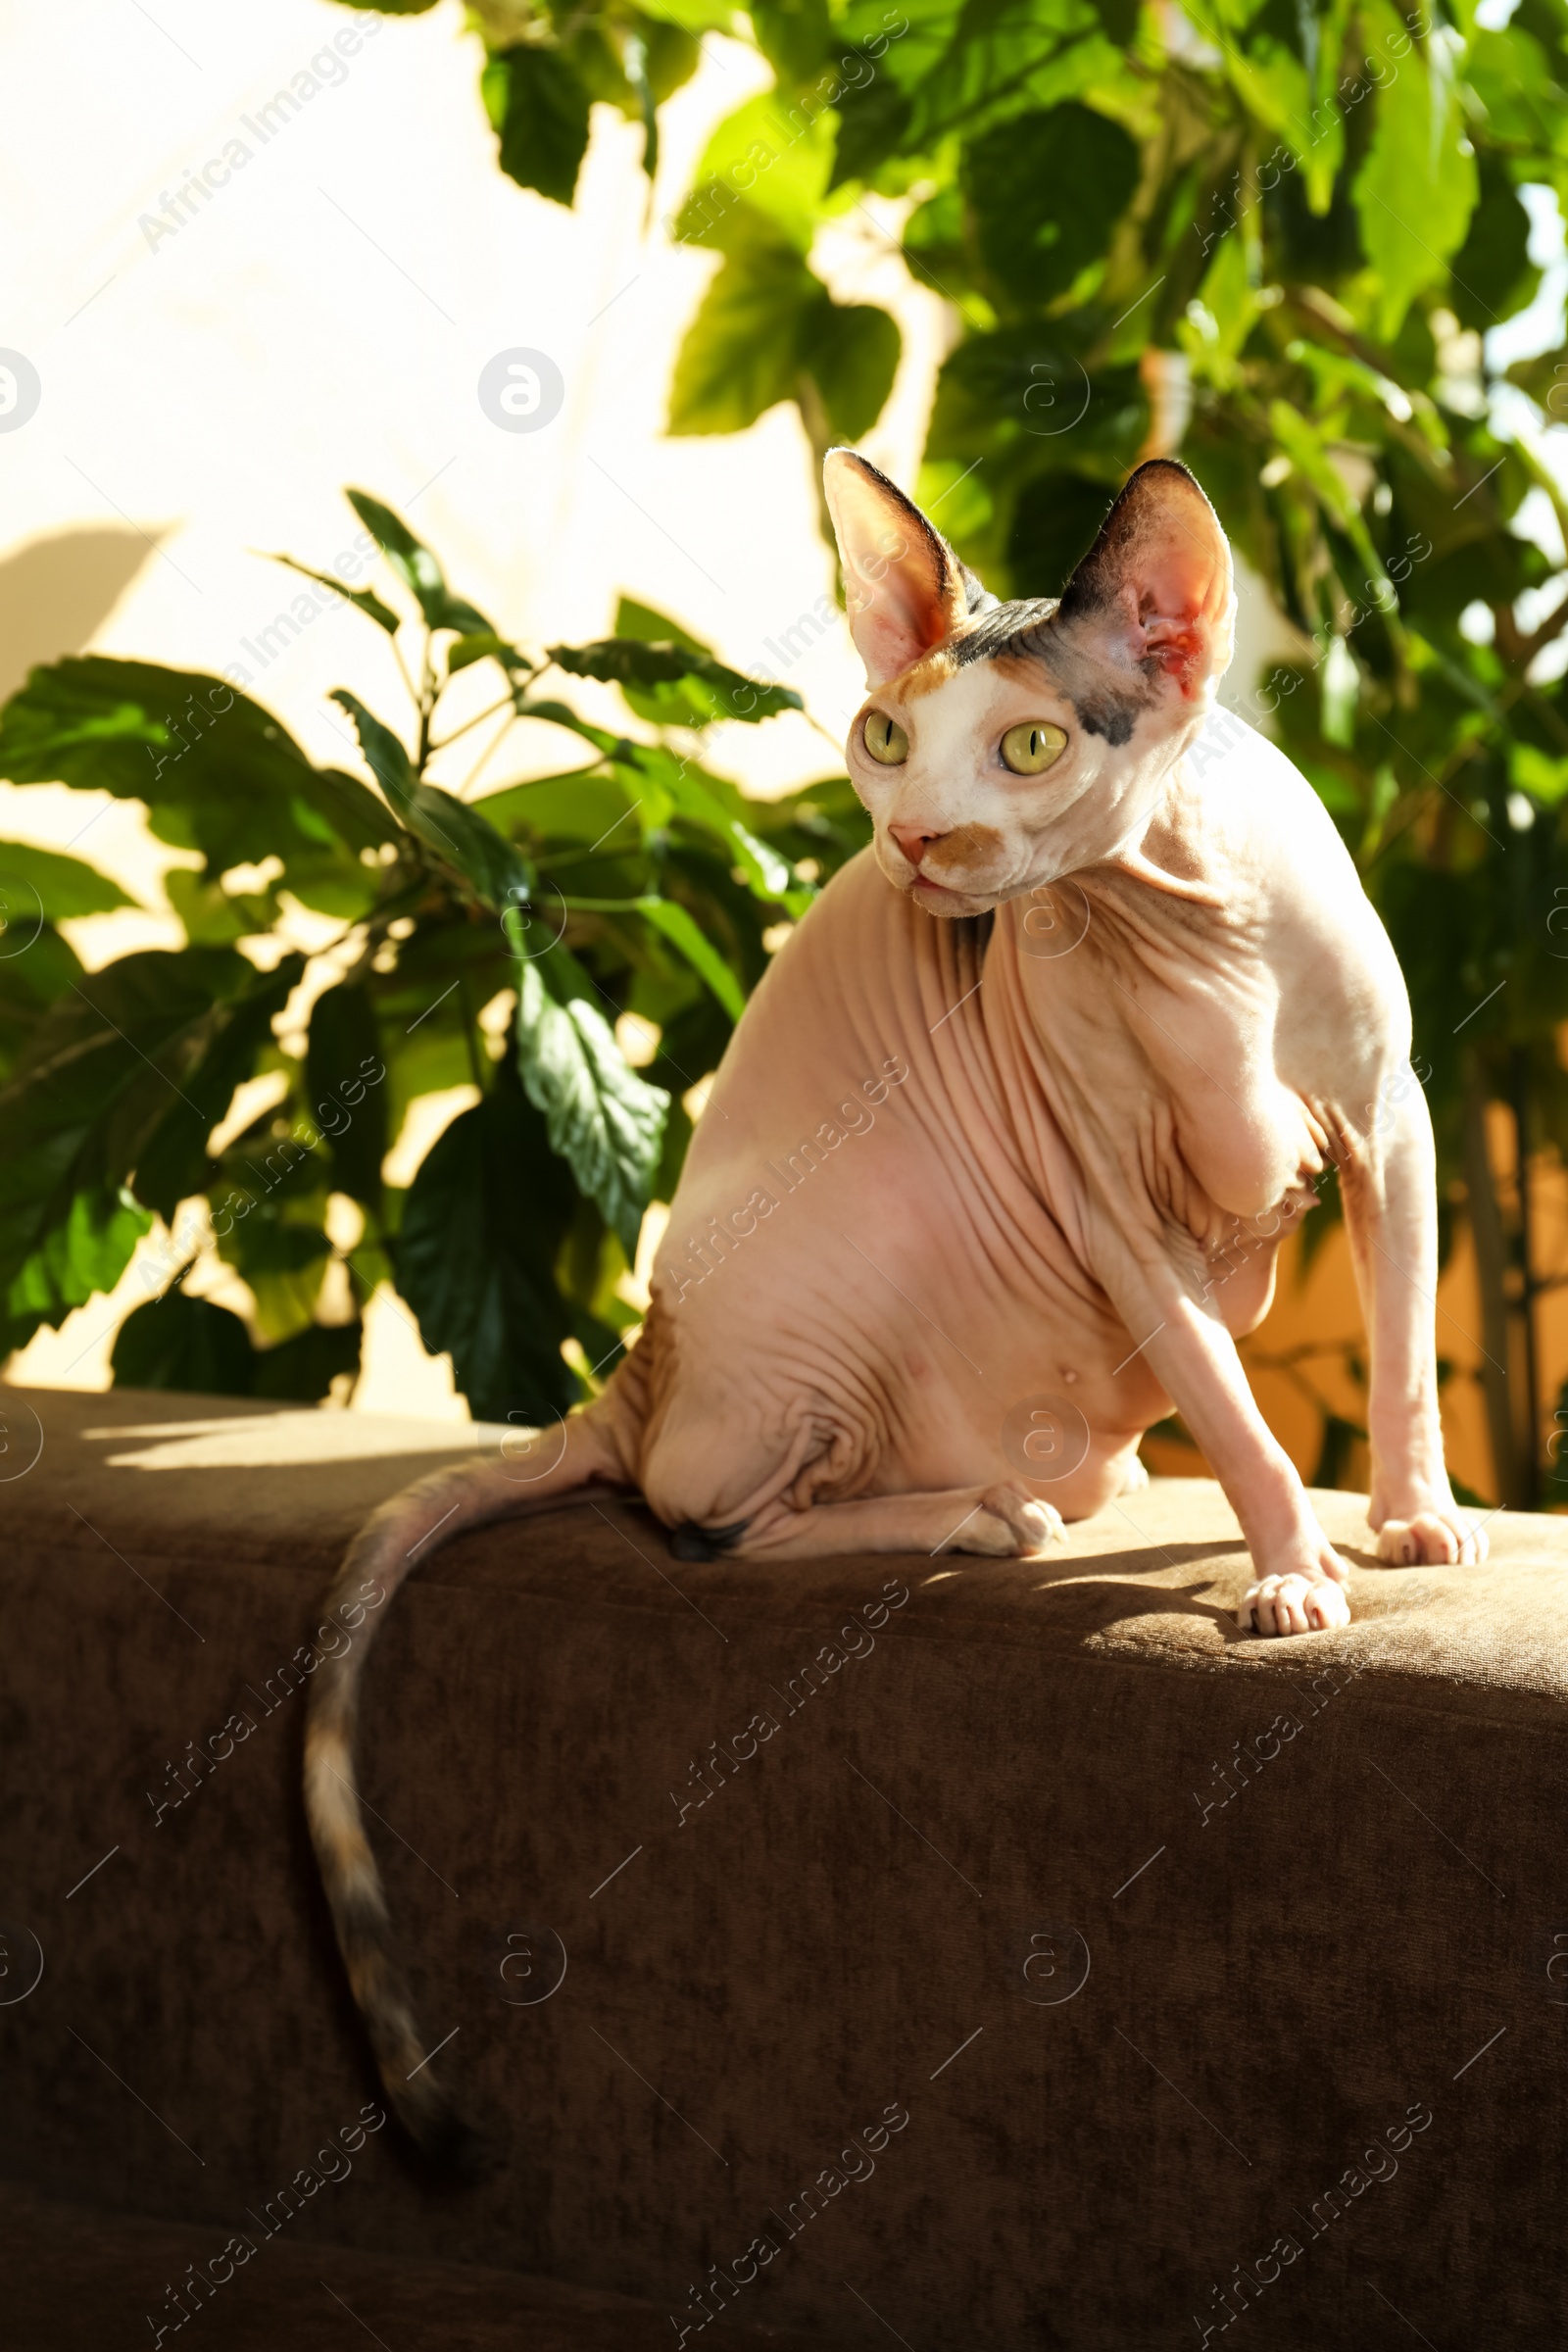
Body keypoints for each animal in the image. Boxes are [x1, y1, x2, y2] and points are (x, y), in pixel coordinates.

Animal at [297, 449, 1486, 2154]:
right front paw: (1292, 1574)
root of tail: (642, 1359)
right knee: (706, 1521)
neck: (1198, 931)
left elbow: (1400, 1358)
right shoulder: (1108, 1194)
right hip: (830, 1288)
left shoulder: (1394, 1116)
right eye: (882, 737)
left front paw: (1415, 1520)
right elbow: (1235, 1407)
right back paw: (985, 1515)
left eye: (1031, 745)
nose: (917, 843)